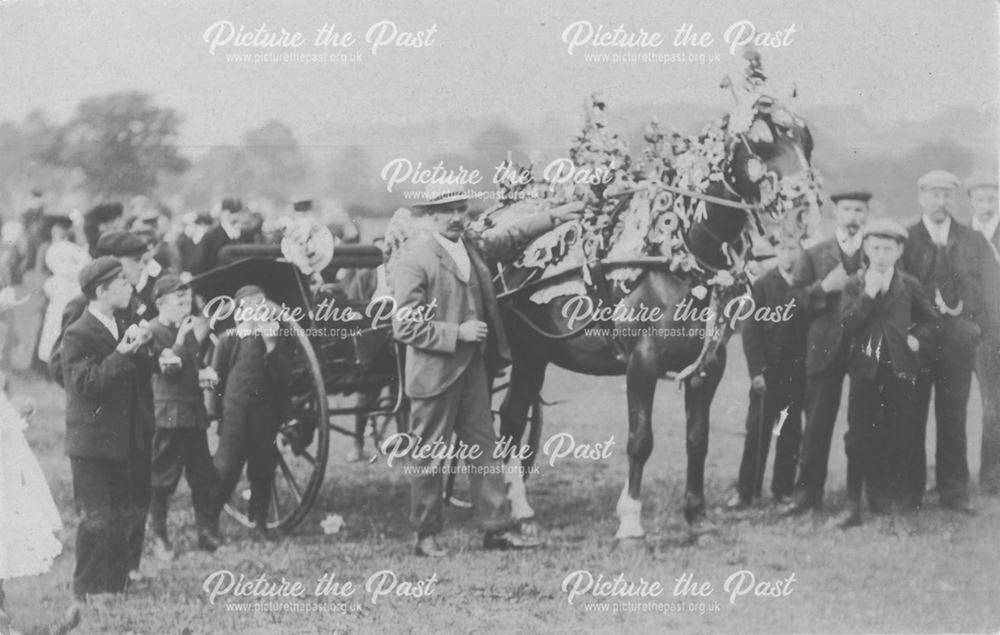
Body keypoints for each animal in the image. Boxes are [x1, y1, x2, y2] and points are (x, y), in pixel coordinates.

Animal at [480, 52, 824, 544]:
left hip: (533, 353)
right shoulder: (641, 361)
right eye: (759, 142)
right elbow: (640, 439)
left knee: (511, 417)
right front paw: (630, 520)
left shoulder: (710, 363)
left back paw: (521, 508)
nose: (803, 212)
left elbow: (697, 437)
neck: (678, 253)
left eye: (806, 138)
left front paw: (696, 516)